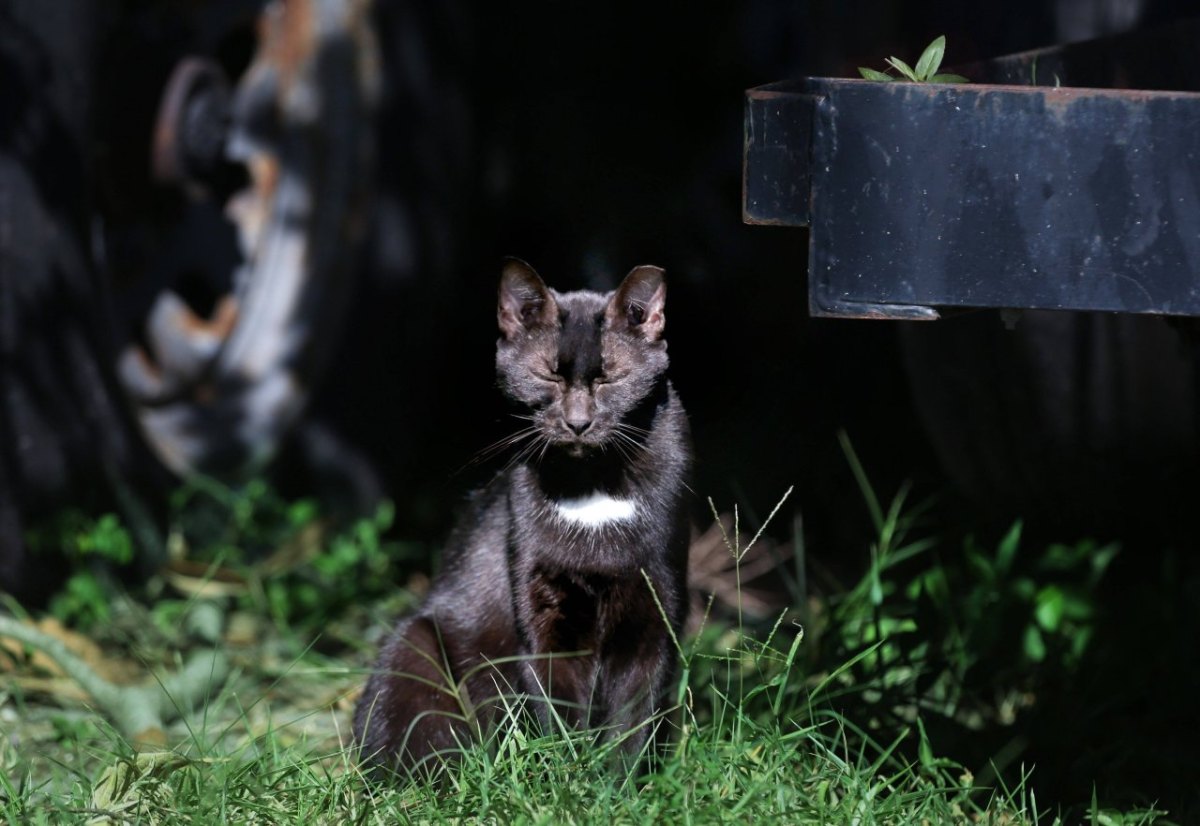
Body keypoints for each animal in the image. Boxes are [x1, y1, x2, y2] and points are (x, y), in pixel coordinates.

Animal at [352, 259, 696, 773]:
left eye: (610, 378)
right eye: (547, 376)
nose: (578, 422)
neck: (592, 487)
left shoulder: (656, 603)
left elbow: (636, 717)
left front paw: (622, 783)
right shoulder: (540, 602)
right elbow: (555, 705)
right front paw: (569, 776)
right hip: (414, 648)